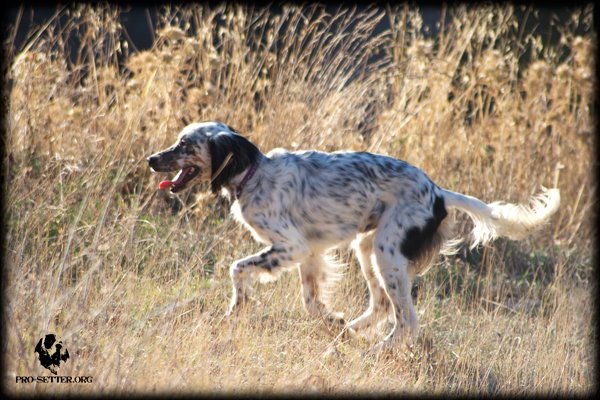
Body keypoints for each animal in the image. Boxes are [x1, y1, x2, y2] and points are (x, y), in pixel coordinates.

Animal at [148, 121, 560, 350]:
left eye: (185, 144)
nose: (152, 159)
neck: (253, 173)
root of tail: (439, 192)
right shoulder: (309, 252)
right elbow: (311, 301)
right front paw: (332, 320)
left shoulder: (291, 246)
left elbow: (237, 269)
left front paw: (236, 308)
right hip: (368, 247)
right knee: (381, 306)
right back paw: (348, 332)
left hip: (387, 252)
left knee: (406, 320)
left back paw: (371, 351)